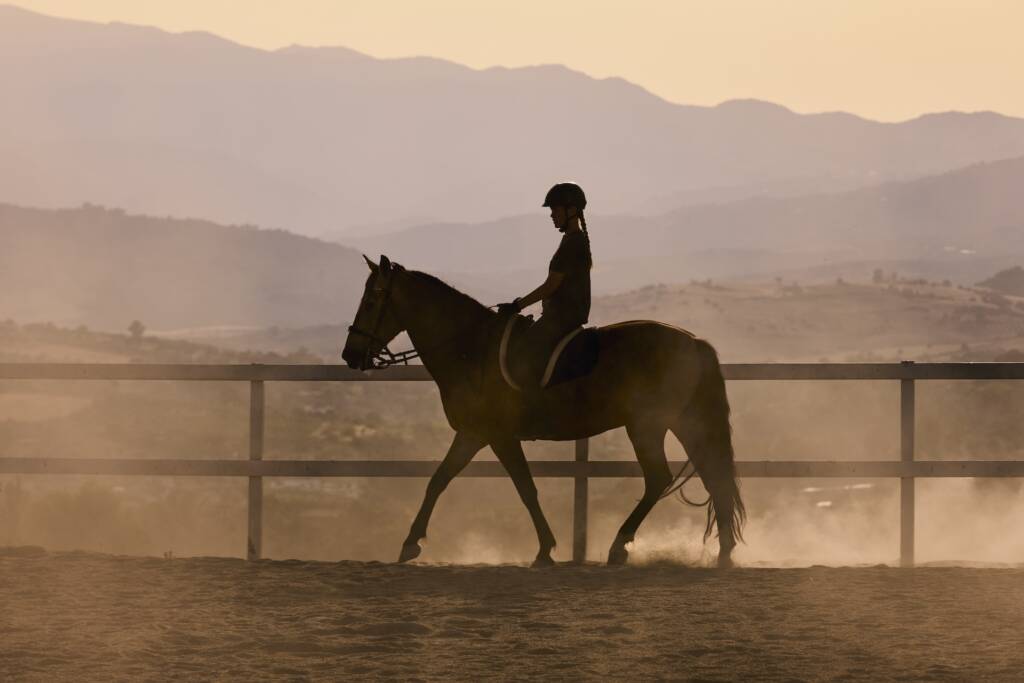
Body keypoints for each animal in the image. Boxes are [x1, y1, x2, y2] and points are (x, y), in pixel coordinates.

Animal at [341, 255, 745, 567]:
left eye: (372, 300)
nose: (350, 355)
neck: (470, 348)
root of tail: (693, 342)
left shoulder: (499, 436)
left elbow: (526, 488)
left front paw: (545, 550)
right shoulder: (473, 433)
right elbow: (439, 480)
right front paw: (410, 543)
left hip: (647, 426)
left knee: (660, 478)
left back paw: (620, 546)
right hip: (684, 422)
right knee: (713, 475)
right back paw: (724, 551)